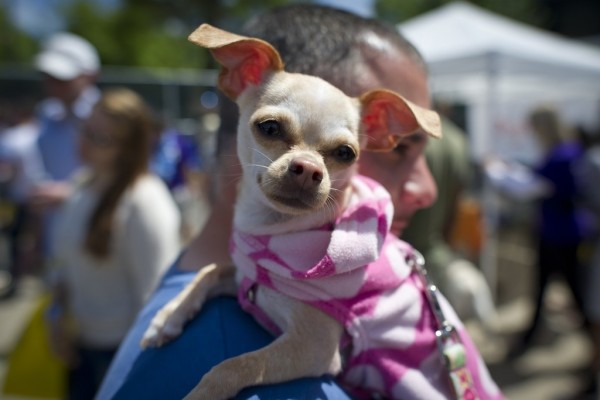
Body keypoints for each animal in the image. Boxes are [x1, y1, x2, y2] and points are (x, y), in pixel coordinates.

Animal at [139, 23, 440, 398]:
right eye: (269, 127)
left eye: (346, 153)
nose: (309, 169)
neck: (274, 235)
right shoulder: (243, 278)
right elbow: (210, 269)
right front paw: (169, 315)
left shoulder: (313, 347)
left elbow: (235, 365)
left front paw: (203, 392)